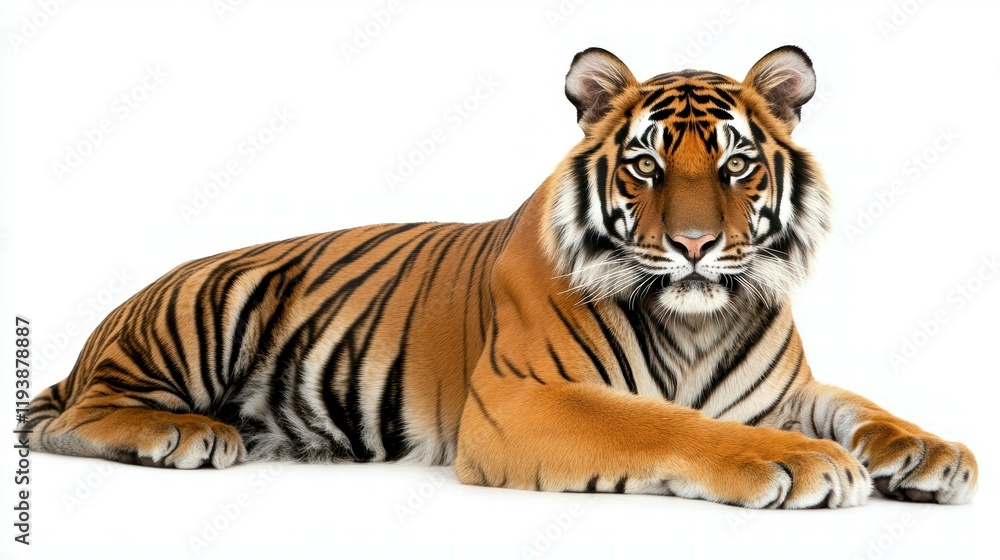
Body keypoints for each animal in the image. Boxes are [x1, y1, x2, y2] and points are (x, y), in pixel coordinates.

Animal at [21, 46, 977, 509]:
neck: (697, 319)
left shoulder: (781, 388)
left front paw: (932, 454)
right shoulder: (522, 396)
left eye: (737, 165)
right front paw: (800, 463)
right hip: (208, 304)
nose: (698, 244)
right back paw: (186, 434)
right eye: (646, 167)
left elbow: (854, 404)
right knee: (68, 422)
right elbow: (667, 423)